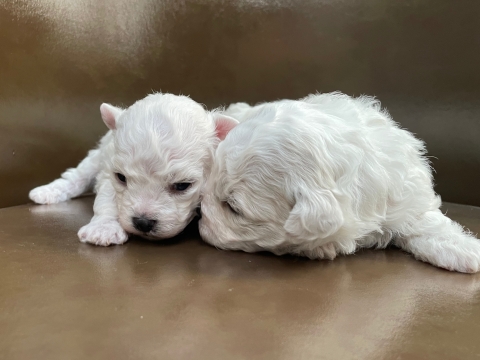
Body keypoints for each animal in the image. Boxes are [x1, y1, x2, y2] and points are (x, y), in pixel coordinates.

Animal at [30, 93, 238, 246]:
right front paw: (104, 228)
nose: (143, 222)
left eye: (182, 186)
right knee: (77, 176)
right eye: (121, 177)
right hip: (98, 156)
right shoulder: (109, 171)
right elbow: (107, 199)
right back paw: (47, 192)